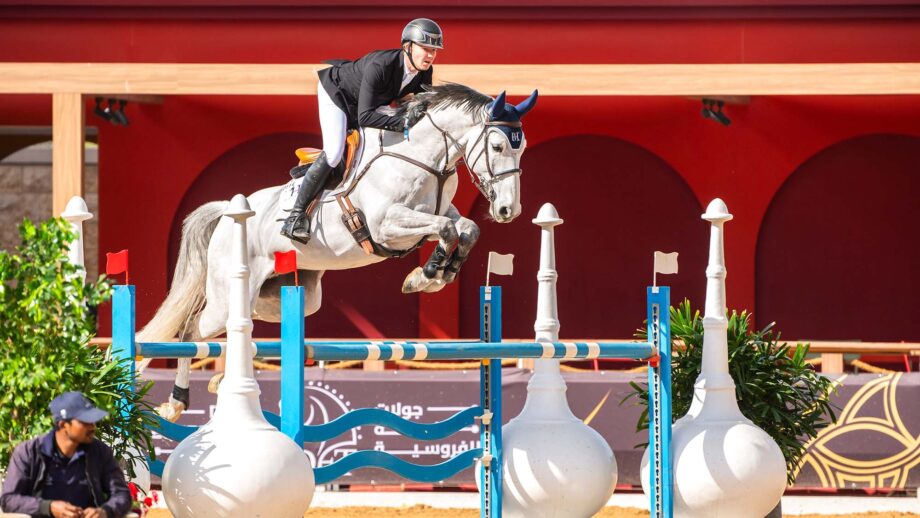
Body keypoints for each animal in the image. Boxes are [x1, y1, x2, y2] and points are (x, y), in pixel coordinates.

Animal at [137, 83, 538, 420]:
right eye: (498, 147)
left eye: (521, 147)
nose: (508, 210)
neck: (423, 158)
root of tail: (228, 214)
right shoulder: (386, 225)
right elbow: (446, 229)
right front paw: (424, 276)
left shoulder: (437, 213)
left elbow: (466, 228)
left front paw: (438, 274)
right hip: (225, 296)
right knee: (192, 330)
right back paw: (176, 402)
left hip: (285, 295)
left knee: (244, 322)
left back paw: (225, 377)